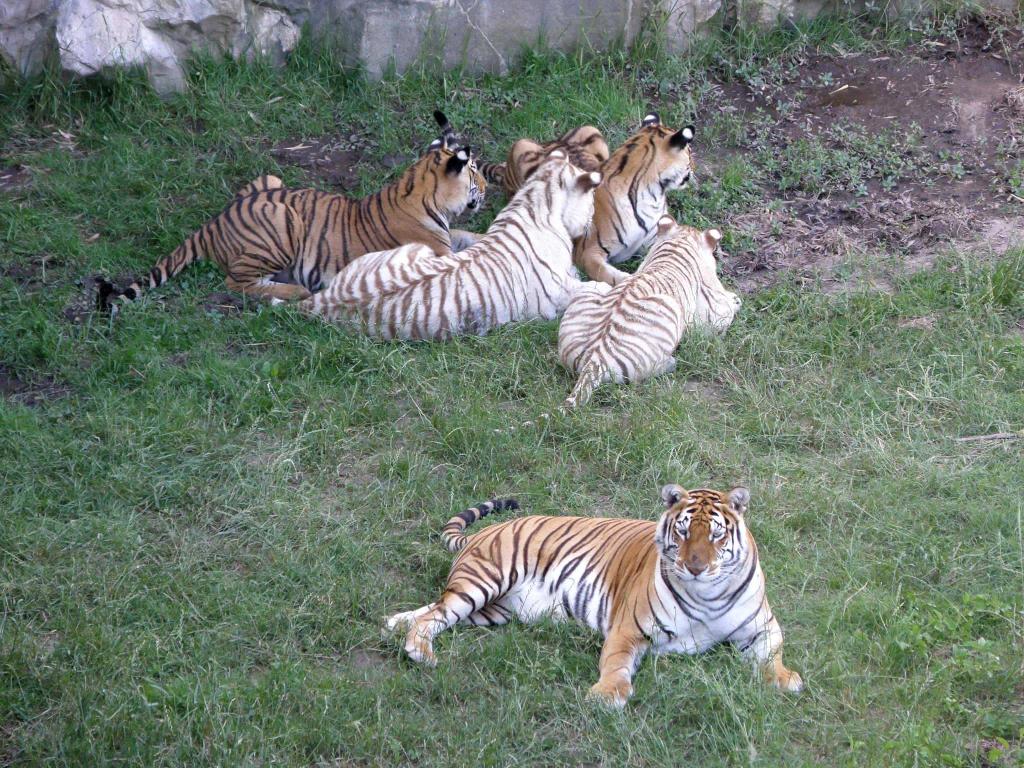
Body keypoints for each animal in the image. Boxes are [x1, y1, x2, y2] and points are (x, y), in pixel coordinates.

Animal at [94, 110, 485, 313]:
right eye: (474, 170)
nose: (487, 185)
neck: (420, 190)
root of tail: (214, 222)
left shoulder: (447, 236)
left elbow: (468, 236)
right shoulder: (435, 251)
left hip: (271, 179)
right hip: (284, 223)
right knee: (236, 282)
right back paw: (297, 291)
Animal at [292, 151, 602, 342]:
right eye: (591, 200)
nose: (590, 221)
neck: (534, 199)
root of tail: (320, 300)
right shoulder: (557, 293)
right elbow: (596, 288)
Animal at [385, 487, 798, 708]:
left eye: (715, 535)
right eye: (682, 532)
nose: (695, 567)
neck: (705, 593)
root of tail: (483, 534)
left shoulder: (761, 626)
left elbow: (772, 653)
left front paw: (783, 678)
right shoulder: (629, 629)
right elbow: (615, 664)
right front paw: (607, 694)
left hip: (489, 609)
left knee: (436, 609)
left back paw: (393, 623)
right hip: (484, 582)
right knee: (435, 616)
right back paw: (420, 652)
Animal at [557, 214, 741, 411]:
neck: (678, 244)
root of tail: (594, 360)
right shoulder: (711, 313)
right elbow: (727, 308)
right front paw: (735, 300)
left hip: (595, 287)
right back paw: (671, 363)